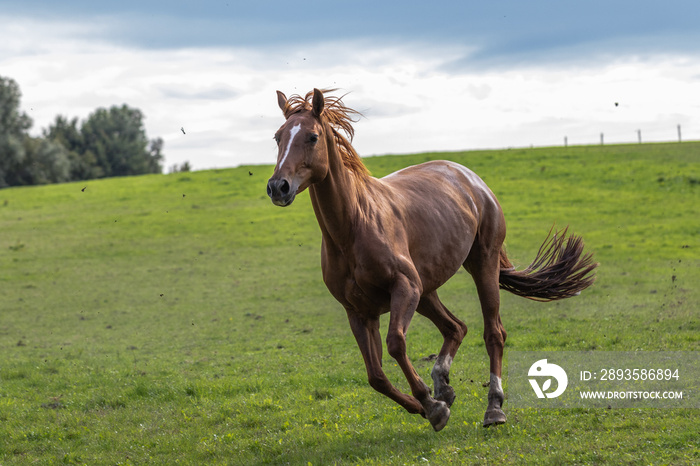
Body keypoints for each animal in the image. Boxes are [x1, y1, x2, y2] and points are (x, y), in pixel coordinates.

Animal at [266, 89, 596, 432]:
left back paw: (493, 407)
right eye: (278, 137)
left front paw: (431, 404)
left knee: (493, 332)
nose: (278, 187)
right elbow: (376, 376)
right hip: (426, 292)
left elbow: (396, 344)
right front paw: (426, 405)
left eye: (312, 136)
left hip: (482, 264)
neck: (353, 226)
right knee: (456, 327)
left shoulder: (405, 287)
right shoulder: (358, 311)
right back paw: (443, 384)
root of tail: (471, 178)